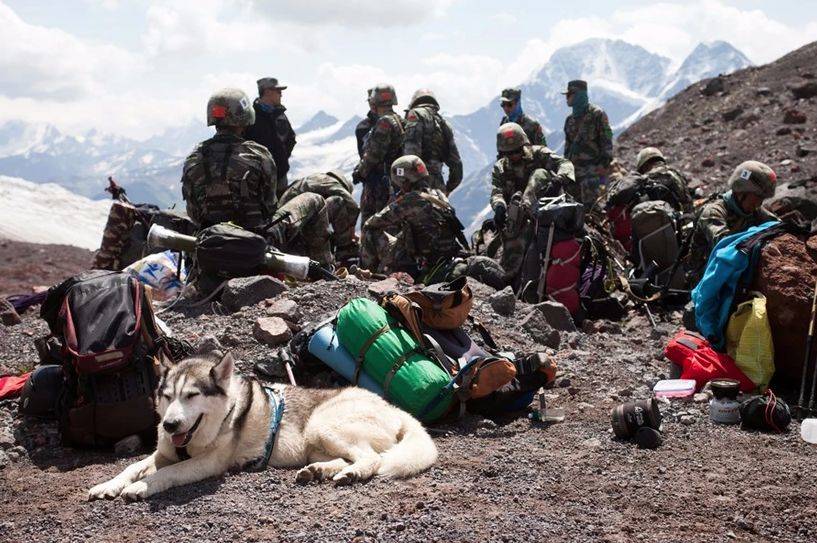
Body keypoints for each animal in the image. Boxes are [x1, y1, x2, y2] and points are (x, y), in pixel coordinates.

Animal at [88, 351, 438, 501]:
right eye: (167, 396)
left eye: (192, 395)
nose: (171, 425)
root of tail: (394, 408)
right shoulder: (164, 452)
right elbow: (132, 466)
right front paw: (109, 485)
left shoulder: (208, 463)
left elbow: (168, 473)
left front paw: (141, 488)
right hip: (316, 443)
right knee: (347, 457)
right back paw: (320, 471)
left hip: (323, 424)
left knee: (372, 459)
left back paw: (351, 474)